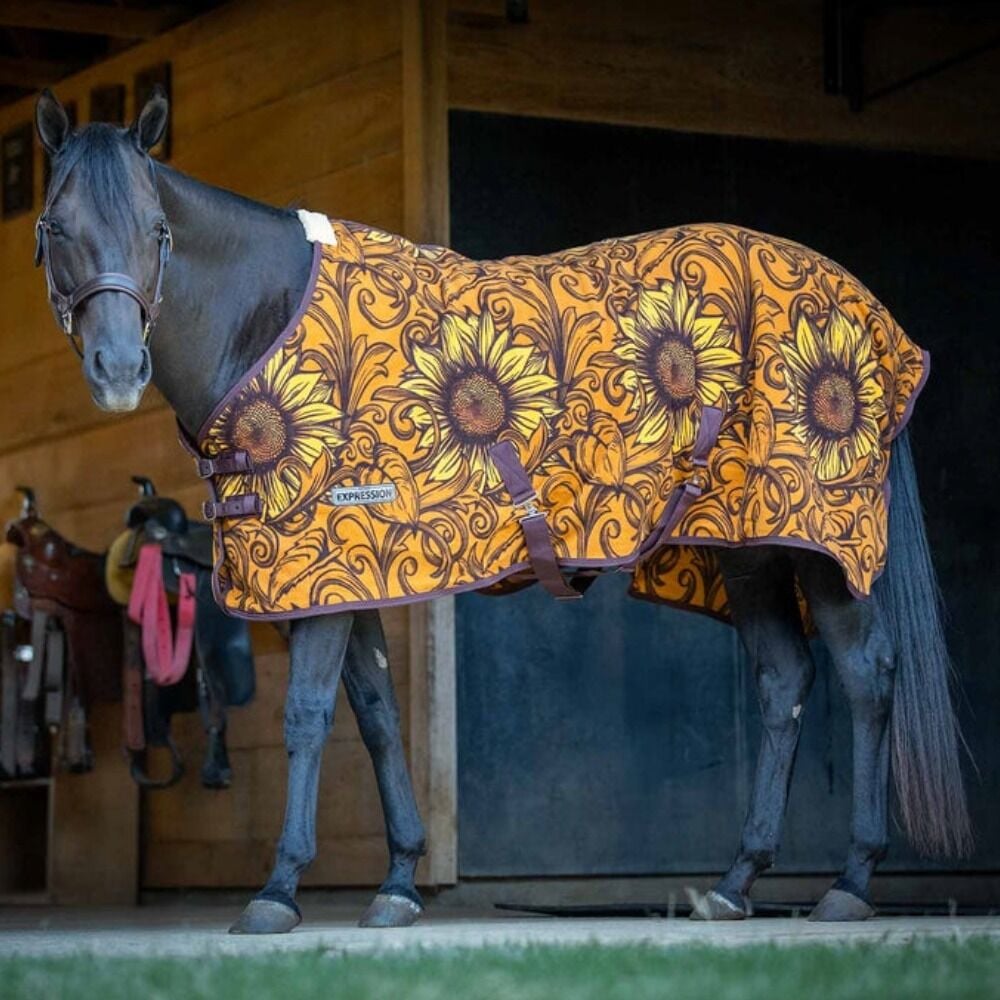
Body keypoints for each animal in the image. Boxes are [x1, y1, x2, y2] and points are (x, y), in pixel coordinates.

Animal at [30, 87, 970, 933]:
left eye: (158, 231)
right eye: (55, 228)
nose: (118, 368)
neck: (268, 321)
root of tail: (876, 317)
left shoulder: (317, 573)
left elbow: (307, 716)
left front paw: (278, 892)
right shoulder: (349, 577)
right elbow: (378, 716)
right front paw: (399, 883)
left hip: (820, 551)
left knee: (866, 675)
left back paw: (849, 883)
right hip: (746, 550)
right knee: (784, 682)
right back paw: (736, 884)